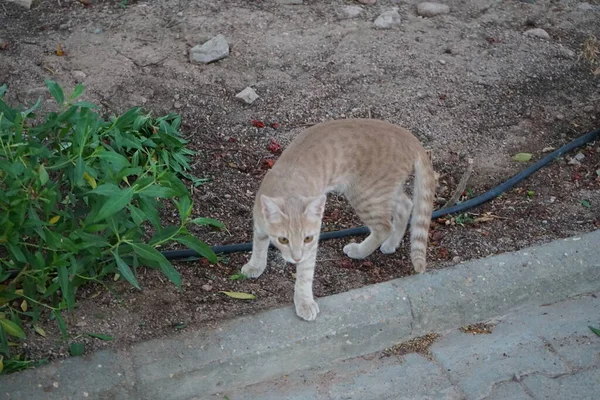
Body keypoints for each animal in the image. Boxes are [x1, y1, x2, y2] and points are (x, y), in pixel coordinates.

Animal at [240, 119, 436, 322]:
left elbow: (304, 276)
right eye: (283, 240)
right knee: (406, 205)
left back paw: (360, 251)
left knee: (384, 226)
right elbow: (259, 245)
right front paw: (256, 265)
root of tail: (406, 135)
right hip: (383, 192)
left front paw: (304, 302)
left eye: (307, 238)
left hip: (367, 195)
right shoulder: (259, 224)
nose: (296, 257)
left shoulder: (312, 246)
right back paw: (391, 244)